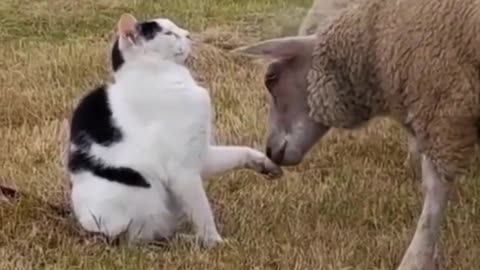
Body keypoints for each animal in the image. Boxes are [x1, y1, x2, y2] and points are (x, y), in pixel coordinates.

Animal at [68, 14, 284, 247]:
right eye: (169, 33)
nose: (188, 34)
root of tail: (89, 232)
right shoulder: (182, 171)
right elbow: (203, 214)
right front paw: (216, 243)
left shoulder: (200, 155)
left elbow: (241, 152)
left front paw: (266, 164)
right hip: (141, 199)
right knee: (147, 237)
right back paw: (187, 240)